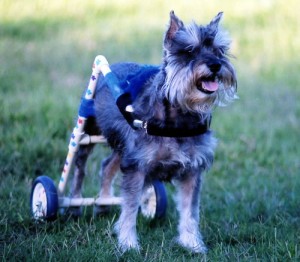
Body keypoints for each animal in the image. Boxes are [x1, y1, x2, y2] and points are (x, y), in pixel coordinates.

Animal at [70, 10, 237, 254]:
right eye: (189, 51)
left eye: (219, 50)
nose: (215, 65)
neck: (179, 116)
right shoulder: (136, 167)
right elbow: (130, 207)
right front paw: (128, 243)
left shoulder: (192, 171)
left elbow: (190, 211)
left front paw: (192, 243)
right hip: (86, 134)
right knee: (79, 169)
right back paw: (73, 203)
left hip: (122, 148)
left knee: (107, 166)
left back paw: (103, 202)